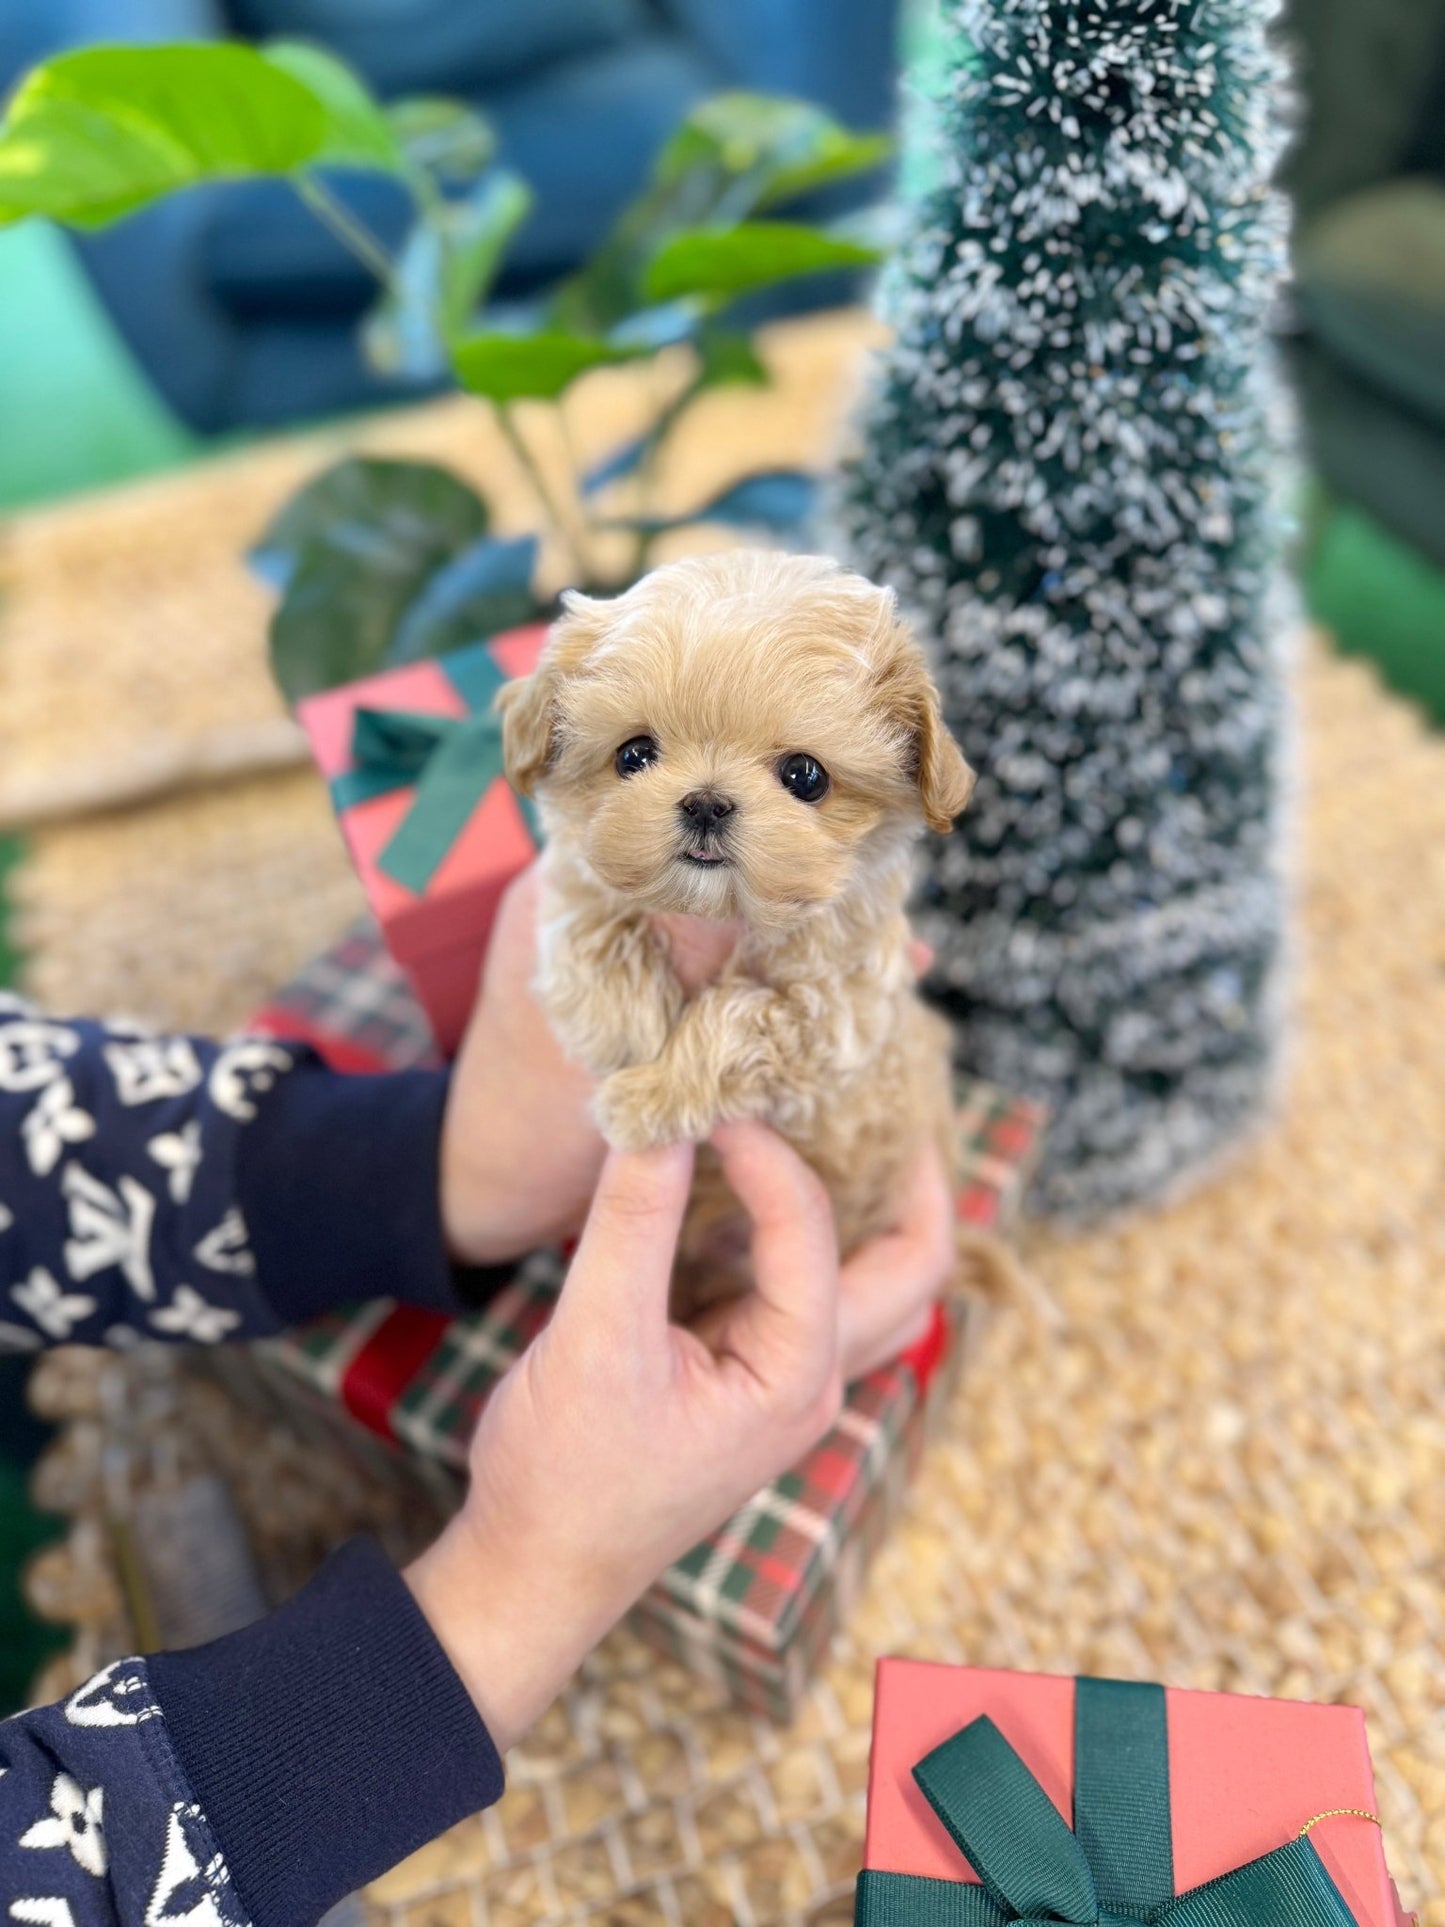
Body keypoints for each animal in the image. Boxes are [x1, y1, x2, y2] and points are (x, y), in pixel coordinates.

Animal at [500, 551, 986, 1318]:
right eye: (633, 755)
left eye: (805, 776)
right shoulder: (569, 886)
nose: (705, 803)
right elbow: (591, 926)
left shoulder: (836, 1010)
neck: (719, 913)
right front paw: (630, 1027)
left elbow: (739, 1015)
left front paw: (648, 1094)